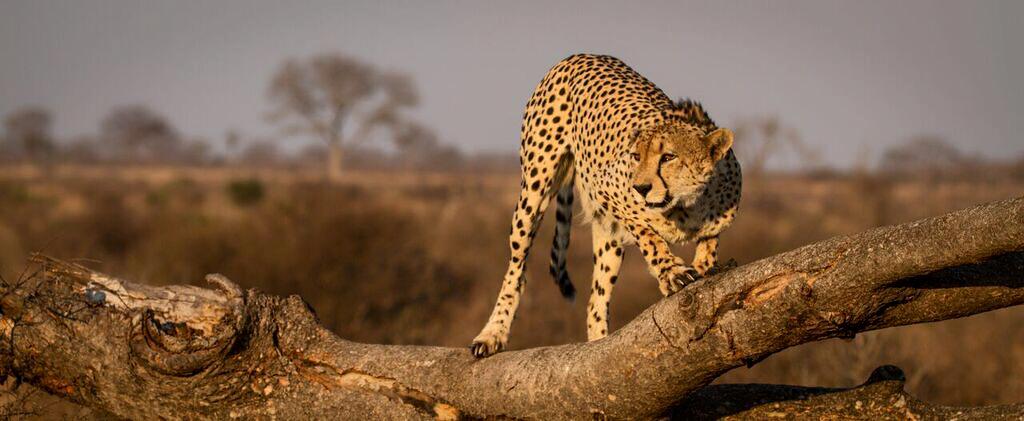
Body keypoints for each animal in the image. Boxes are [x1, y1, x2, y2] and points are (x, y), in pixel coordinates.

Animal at [468, 51, 741, 356]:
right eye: (636, 156)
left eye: (668, 157)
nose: (641, 188)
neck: (686, 205)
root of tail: (579, 55)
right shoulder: (607, 191)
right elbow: (649, 237)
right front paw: (671, 272)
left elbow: (710, 240)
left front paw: (705, 264)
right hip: (534, 190)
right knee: (517, 269)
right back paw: (492, 333)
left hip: (608, 239)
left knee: (595, 301)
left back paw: (598, 342)